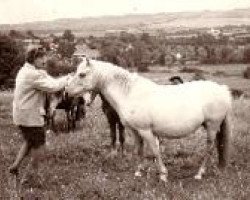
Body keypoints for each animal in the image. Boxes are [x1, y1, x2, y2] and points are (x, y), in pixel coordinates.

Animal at [66, 57, 232, 181]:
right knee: (218, 145)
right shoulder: (135, 131)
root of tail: (222, 89)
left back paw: (199, 174)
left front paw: (163, 175)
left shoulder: (146, 131)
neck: (130, 93)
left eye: (82, 74)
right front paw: (139, 172)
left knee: (209, 148)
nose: (67, 92)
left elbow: (155, 150)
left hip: (211, 126)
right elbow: (139, 150)